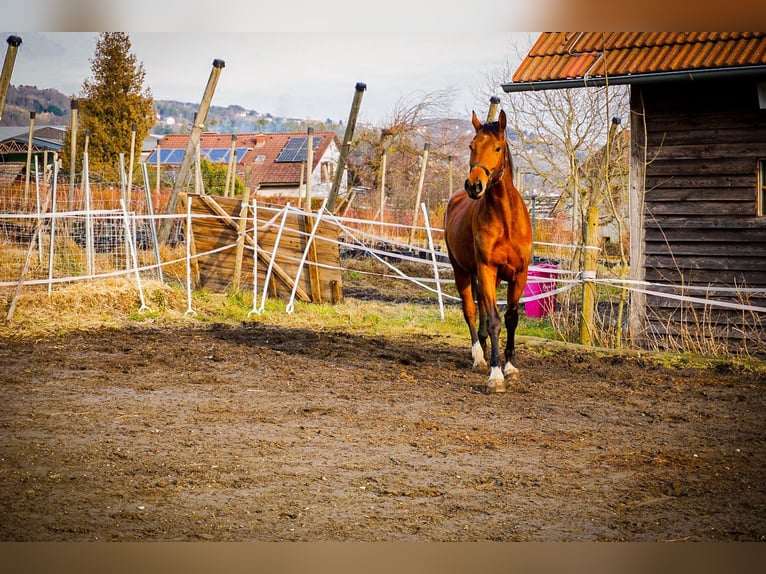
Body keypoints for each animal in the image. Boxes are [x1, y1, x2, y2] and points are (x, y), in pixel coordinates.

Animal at [444, 109, 533, 393]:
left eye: (497, 147)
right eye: (471, 146)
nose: (474, 186)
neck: (506, 220)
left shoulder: (519, 275)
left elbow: (511, 318)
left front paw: (511, 367)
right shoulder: (485, 269)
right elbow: (494, 320)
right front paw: (495, 375)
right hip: (461, 272)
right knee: (471, 312)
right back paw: (479, 356)